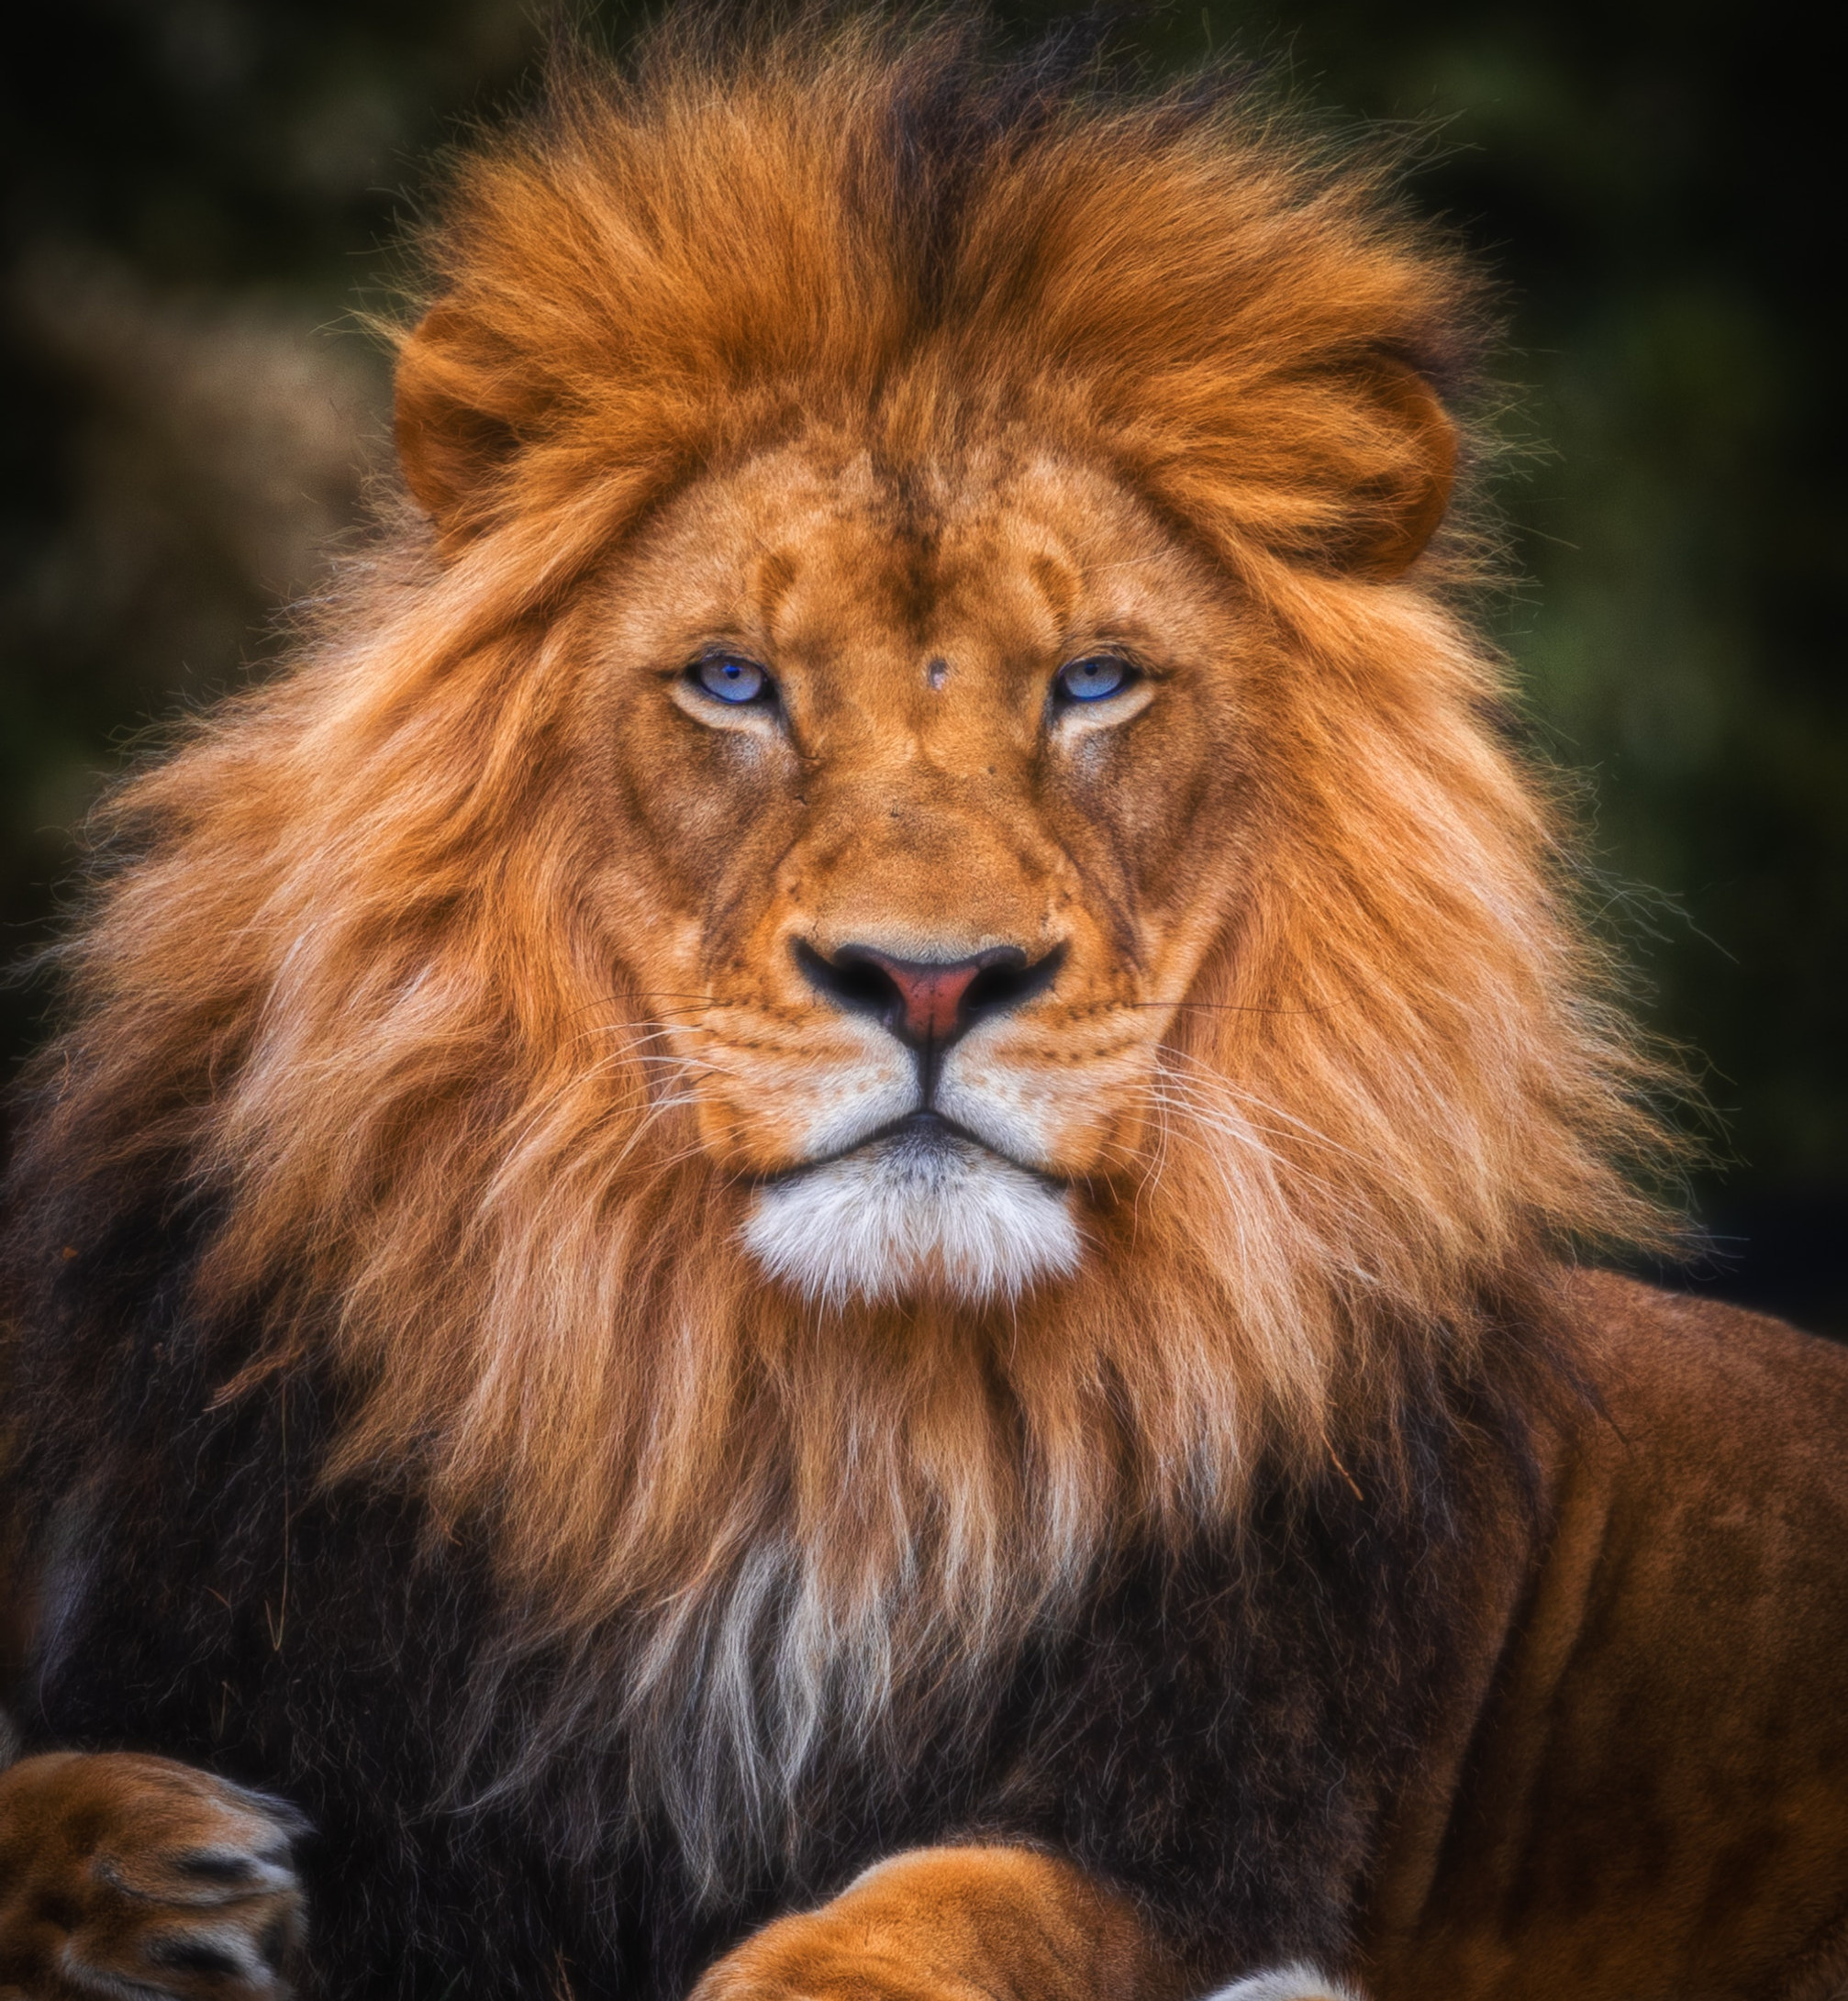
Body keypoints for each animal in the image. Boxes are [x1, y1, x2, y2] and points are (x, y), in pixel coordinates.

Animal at [2, 15, 1846, 2001]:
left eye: (1094, 682)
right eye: (733, 681)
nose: (930, 978)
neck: (816, 1442)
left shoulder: (1211, 1819)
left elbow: (970, 1899)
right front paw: (147, 1869)